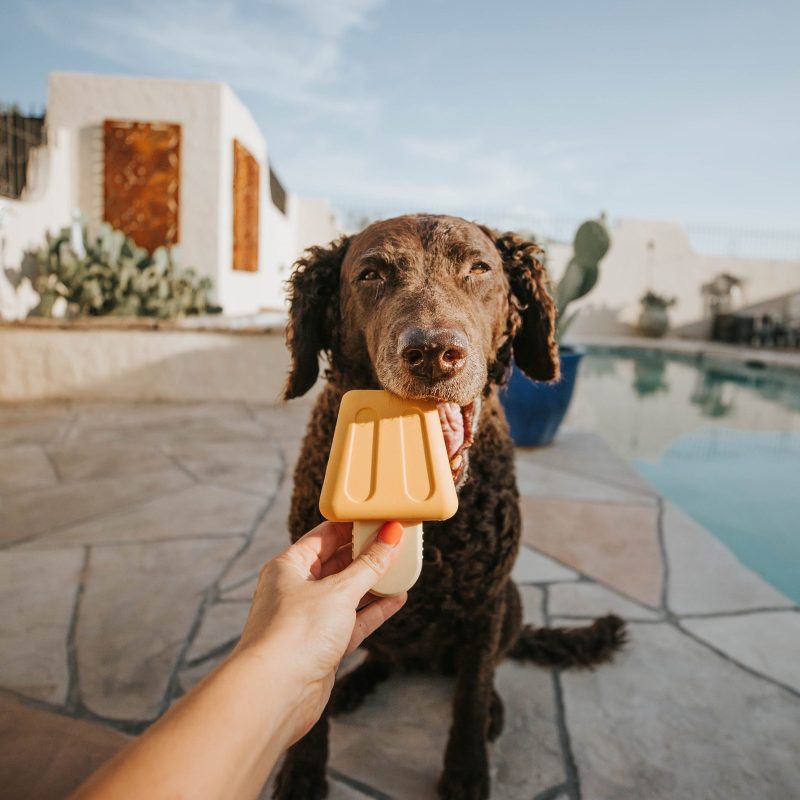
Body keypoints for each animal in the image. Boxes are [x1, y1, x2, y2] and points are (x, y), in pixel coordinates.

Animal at [276, 214, 624, 800]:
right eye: (370, 274)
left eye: (480, 268)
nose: (434, 353)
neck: (435, 535)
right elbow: (310, 699)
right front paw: (301, 776)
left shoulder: (484, 604)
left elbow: (470, 696)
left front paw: (466, 771)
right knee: (383, 657)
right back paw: (356, 684)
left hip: (511, 603)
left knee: (480, 674)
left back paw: (492, 710)